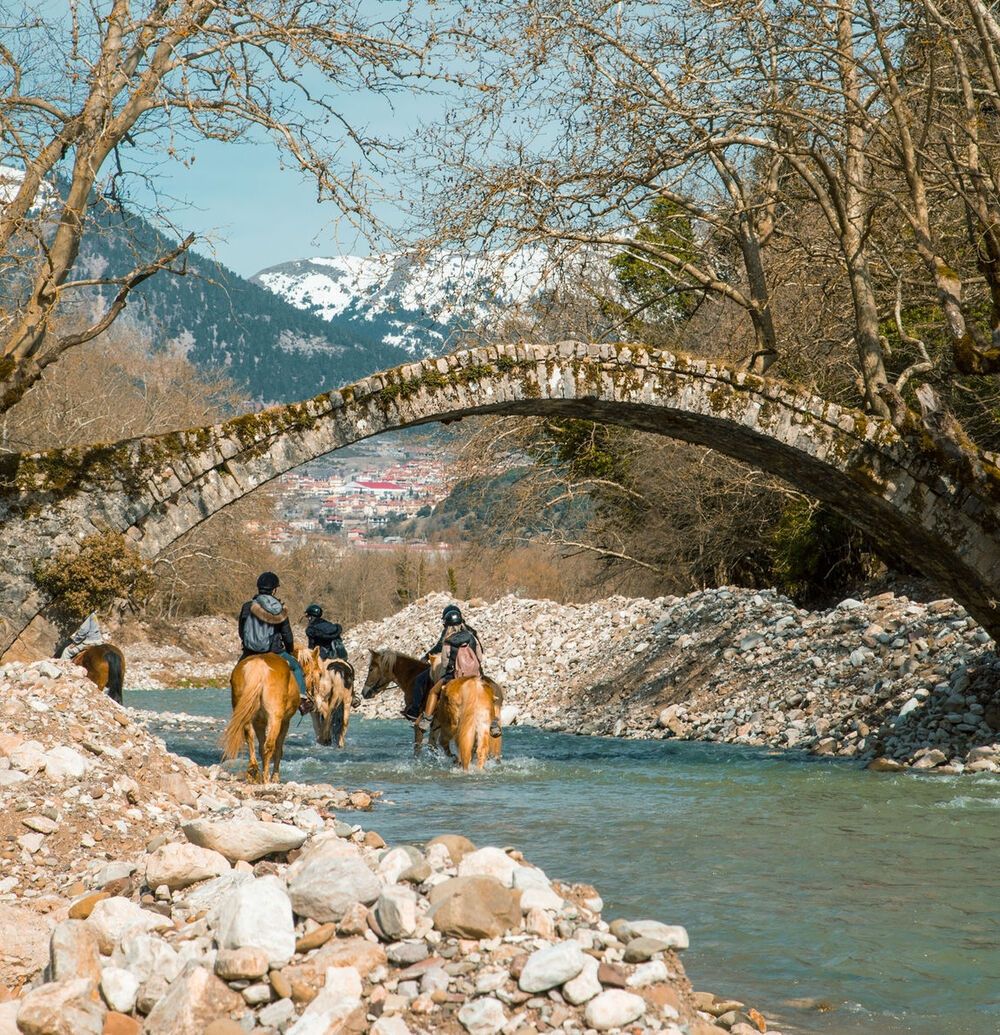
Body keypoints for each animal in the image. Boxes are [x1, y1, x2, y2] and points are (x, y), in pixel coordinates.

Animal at [224, 654, 304, 782]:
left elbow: (260, 747)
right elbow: (278, 749)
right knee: (269, 746)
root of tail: (259, 666)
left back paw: (253, 772)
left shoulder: (259, 723)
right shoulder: (285, 722)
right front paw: (275, 777)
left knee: (250, 737)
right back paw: (265, 778)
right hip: (274, 718)